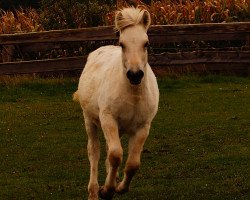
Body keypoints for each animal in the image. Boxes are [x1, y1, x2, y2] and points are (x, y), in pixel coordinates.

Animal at [74, 7, 159, 199]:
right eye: (122, 44)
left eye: (146, 43)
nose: (135, 75)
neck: (132, 94)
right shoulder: (108, 120)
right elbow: (115, 155)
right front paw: (107, 190)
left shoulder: (143, 127)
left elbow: (132, 163)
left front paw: (119, 188)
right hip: (90, 121)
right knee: (94, 151)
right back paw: (93, 191)